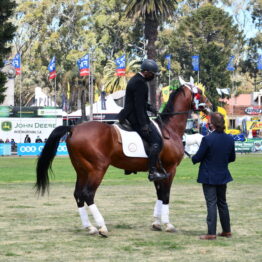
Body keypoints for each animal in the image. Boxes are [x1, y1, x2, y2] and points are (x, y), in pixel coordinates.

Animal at [35, 77, 211, 237]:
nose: (210, 106)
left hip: (82, 170)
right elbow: (166, 195)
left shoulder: (159, 172)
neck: (170, 129)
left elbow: (160, 195)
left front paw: (156, 223)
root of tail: (73, 128)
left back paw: (90, 227)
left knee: (78, 194)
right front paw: (168, 224)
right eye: (200, 92)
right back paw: (102, 227)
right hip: (97, 169)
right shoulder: (170, 169)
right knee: (88, 194)